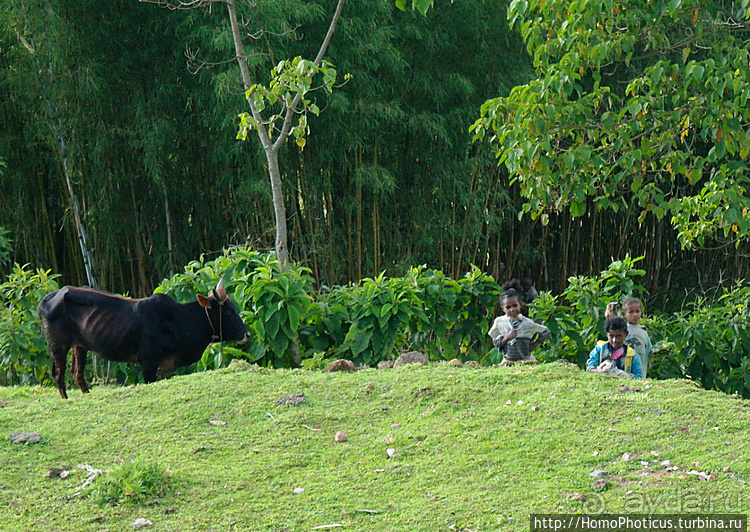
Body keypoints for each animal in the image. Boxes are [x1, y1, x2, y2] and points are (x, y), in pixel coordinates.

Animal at [39, 278, 250, 400]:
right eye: (229, 312)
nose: (246, 335)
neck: (178, 320)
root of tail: (49, 296)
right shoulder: (148, 363)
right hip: (57, 345)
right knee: (58, 374)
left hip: (79, 346)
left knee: (77, 373)